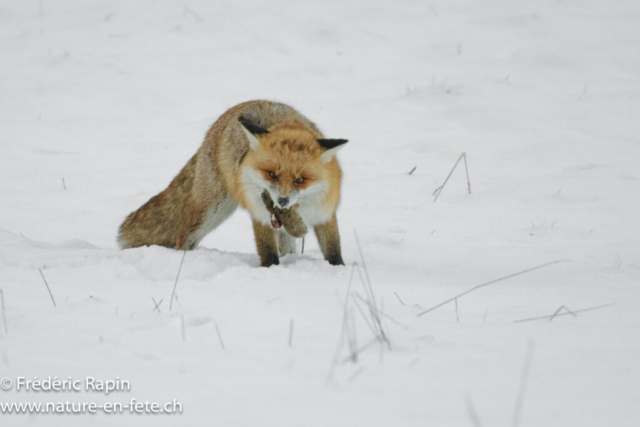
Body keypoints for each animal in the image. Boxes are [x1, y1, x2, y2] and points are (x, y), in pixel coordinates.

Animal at [117, 100, 347, 267]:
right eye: (272, 174)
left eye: (300, 180)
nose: (282, 201)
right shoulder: (260, 214)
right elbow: (268, 253)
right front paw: (271, 271)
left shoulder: (325, 213)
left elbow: (333, 250)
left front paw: (338, 270)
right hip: (211, 211)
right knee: (183, 238)